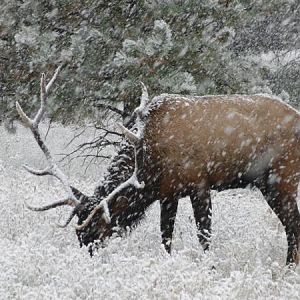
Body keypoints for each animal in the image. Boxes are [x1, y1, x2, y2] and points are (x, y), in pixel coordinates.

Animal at [17, 67, 300, 264]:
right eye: (79, 224)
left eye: (96, 224)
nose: (86, 250)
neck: (150, 165)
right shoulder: (168, 192)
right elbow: (165, 237)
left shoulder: (199, 182)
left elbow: (204, 236)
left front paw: (209, 268)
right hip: (267, 184)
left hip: (282, 178)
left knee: (293, 226)